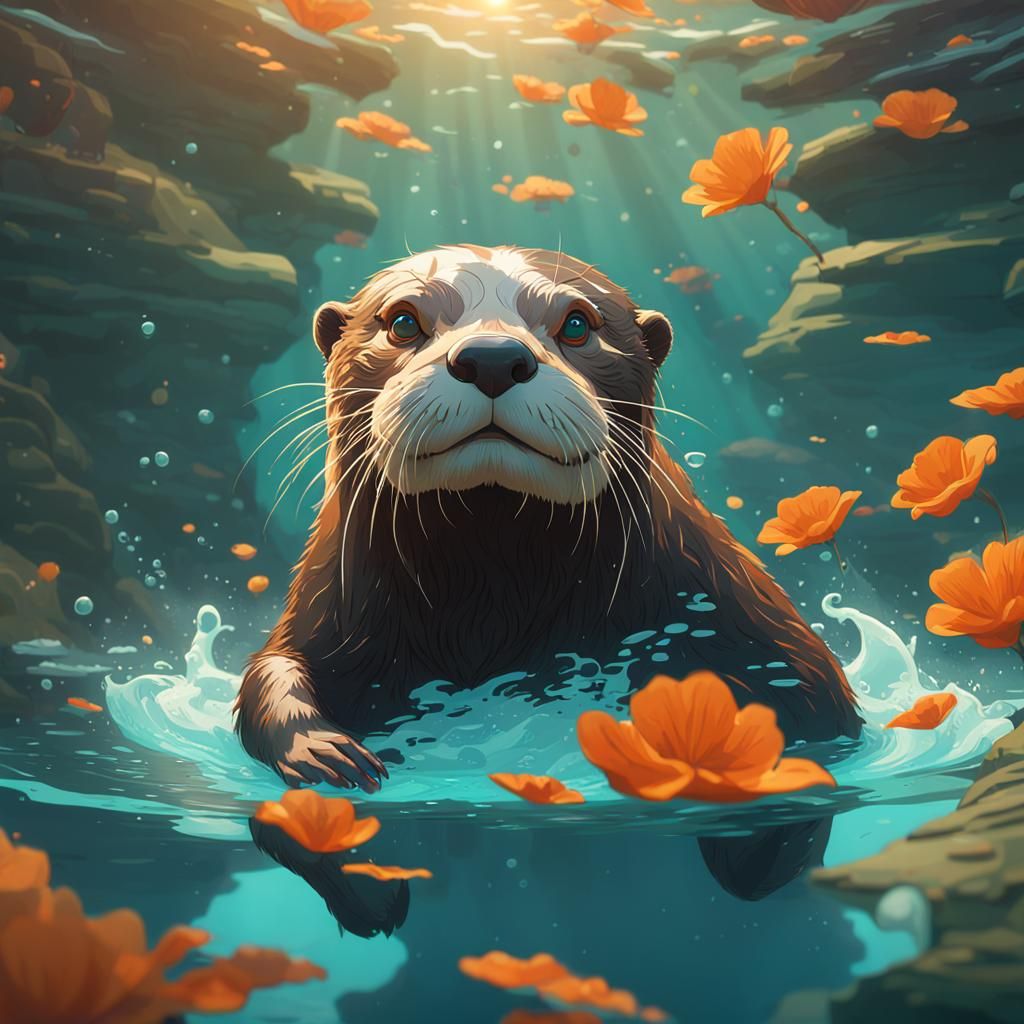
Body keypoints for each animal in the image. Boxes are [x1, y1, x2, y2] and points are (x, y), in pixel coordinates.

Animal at [236, 245, 860, 790]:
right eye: (403, 322)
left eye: (578, 323)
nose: (491, 357)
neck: (492, 599)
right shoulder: (331, 603)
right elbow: (270, 671)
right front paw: (320, 749)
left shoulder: (727, 606)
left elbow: (810, 694)